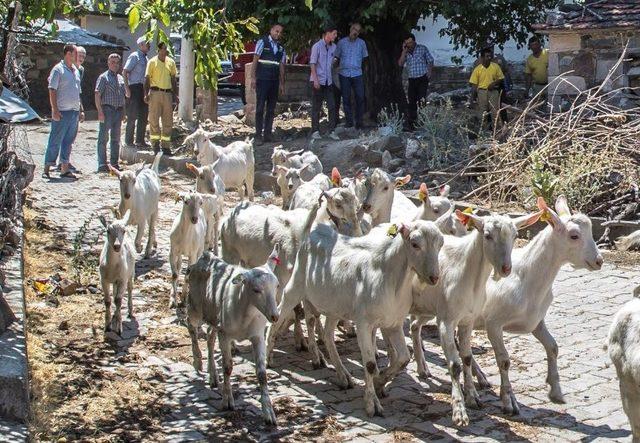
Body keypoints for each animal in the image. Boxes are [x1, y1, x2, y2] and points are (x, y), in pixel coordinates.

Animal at [185, 246, 280, 426]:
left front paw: (269, 413)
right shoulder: (226, 335)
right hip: (194, 306)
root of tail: (205, 257)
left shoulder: (257, 336)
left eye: (277, 286)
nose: (274, 316)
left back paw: (213, 376)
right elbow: (228, 367)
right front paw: (227, 402)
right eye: (256, 290)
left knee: (209, 338)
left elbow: (262, 374)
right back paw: (197, 360)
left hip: (214, 317)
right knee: (191, 326)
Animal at [264, 204, 440, 416]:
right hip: (295, 287)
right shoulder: (364, 323)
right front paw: (372, 405)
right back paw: (268, 358)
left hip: (334, 305)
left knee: (328, 335)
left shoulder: (393, 323)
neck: (389, 277)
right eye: (414, 244)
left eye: (440, 244)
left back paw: (343, 376)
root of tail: (309, 234)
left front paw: (380, 383)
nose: (434, 277)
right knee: (278, 317)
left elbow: (404, 358)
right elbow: (370, 364)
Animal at [410, 210, 540, 428]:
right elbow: (454, 365)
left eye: (515, 236)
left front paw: (472, 397)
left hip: (427, 308)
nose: (506, 268)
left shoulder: (466, 320)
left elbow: (467, 357)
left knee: (413, 326)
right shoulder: (446, 321)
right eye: (487, 235)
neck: (467, 274)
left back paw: (422, 368)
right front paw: (459, 412)